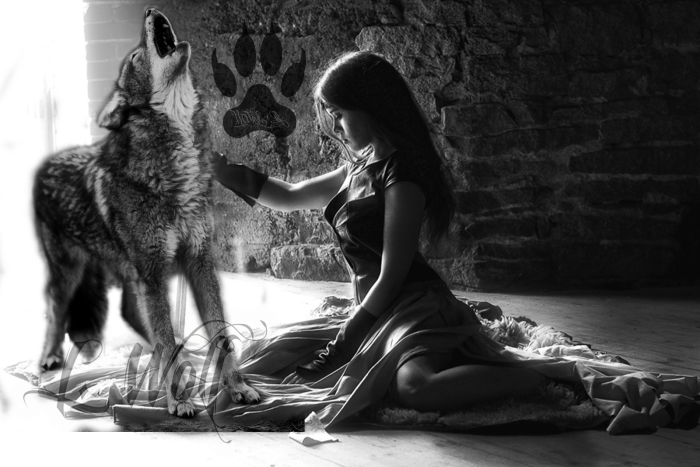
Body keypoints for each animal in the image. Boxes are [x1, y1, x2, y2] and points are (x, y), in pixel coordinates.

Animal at [33, 9, 259, 417]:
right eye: (137, 57)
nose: (151, 11)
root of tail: (48, 162)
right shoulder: (152, 274)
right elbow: (166, 337)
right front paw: (180, 400)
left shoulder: (199, 262)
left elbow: (220, 333)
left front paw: (237, 387)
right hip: (71, 269)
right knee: (57, 309)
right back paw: (50, 358)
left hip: (129, 273)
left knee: (135, 316)